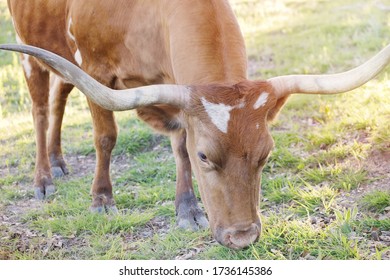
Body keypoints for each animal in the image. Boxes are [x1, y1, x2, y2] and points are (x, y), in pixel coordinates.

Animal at [3, 0, 390, 249]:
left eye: (266, 155)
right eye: (205, 156)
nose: (242, 237)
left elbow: (178, 145)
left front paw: (187, 209)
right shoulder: (94, 69)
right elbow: (105, 137)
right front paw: (102, 200)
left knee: (60, 96)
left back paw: (58, 161)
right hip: (29, 53)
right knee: (40, 109)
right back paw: (44, 178)